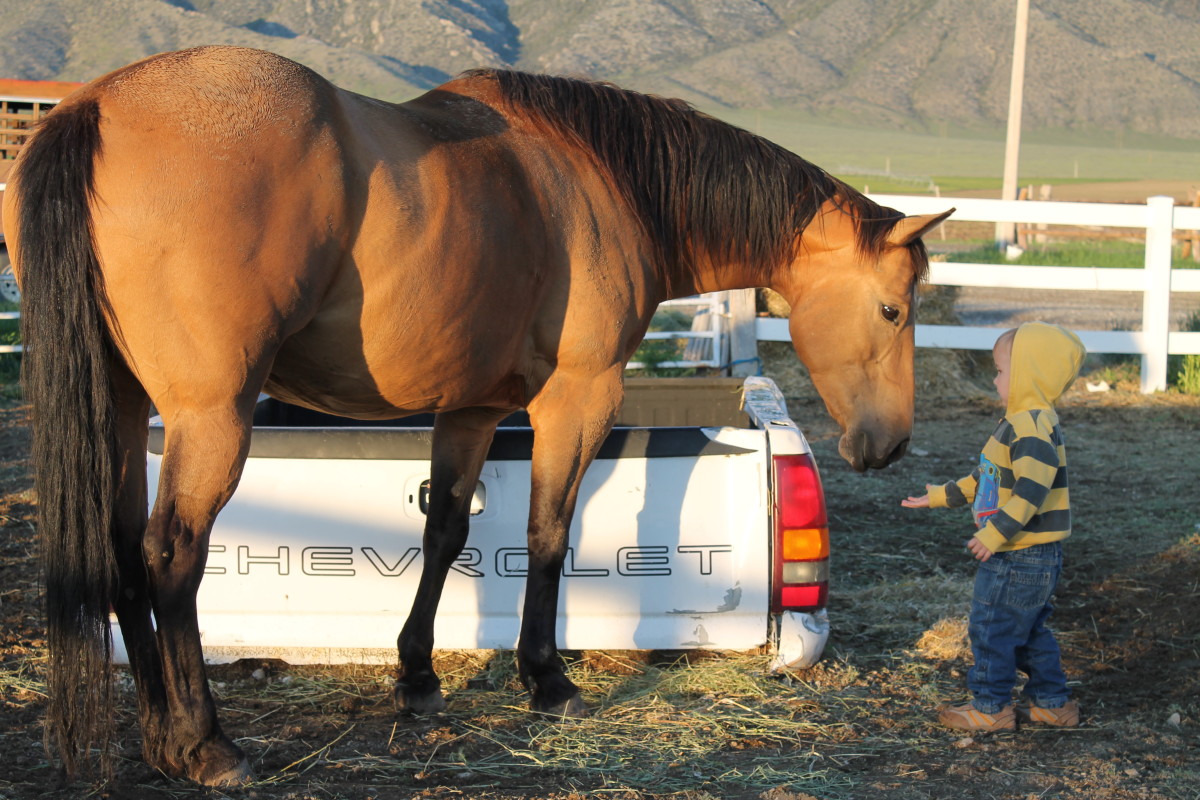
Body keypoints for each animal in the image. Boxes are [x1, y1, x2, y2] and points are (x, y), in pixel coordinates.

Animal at [4, 45, 950, 786]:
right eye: (894, 310)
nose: (890, 443)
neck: (602, 179)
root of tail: (95, 105)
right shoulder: (578, 398)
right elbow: (547, 533)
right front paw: (546, 680)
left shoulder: (471, 408)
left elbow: (447, 531)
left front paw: (417, 676)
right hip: (211, 417)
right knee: (171, 554)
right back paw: (204, 744)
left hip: (124, 404)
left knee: (124, 551)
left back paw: (159, 735)